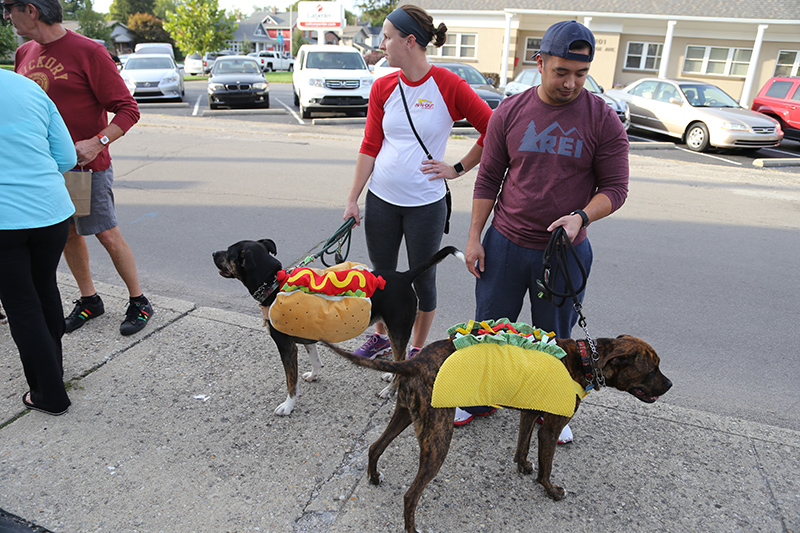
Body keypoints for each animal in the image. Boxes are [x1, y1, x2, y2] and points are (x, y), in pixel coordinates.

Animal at [324, 334, 668, 528]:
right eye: (652, 369)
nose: (670, 384)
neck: (583, 358)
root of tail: (415, 361)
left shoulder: (529, 414)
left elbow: (522, 444)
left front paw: (523, 466)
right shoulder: (550, 429)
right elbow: (547, 465)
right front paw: (550, 490)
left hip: (405, 415)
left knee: (374, 447)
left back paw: (373, 477)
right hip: (438, 439)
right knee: (410, 495)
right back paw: (412, 527)